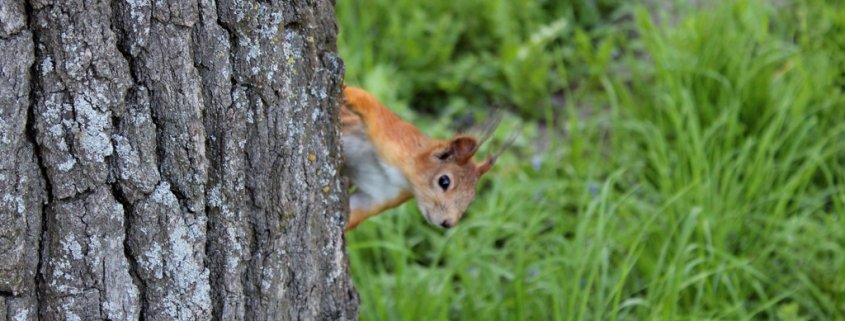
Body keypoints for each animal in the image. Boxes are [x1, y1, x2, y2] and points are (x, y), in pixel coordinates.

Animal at [338, 85, 508, 230]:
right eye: (444, 181)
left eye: (471, 199)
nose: (448, 223)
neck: (402, 176)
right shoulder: (395, 138)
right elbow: (372, 106)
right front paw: (347, 93)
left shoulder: (380, 195)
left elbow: (356, 212)